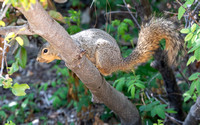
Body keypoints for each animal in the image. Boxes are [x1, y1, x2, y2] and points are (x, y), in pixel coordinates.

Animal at [36, 17, 183, 75]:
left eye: (45, 51)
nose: (37, 59)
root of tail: (118, 62)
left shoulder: (78, 44)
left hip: (103, 53)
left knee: (108, 72)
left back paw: (100, 68)